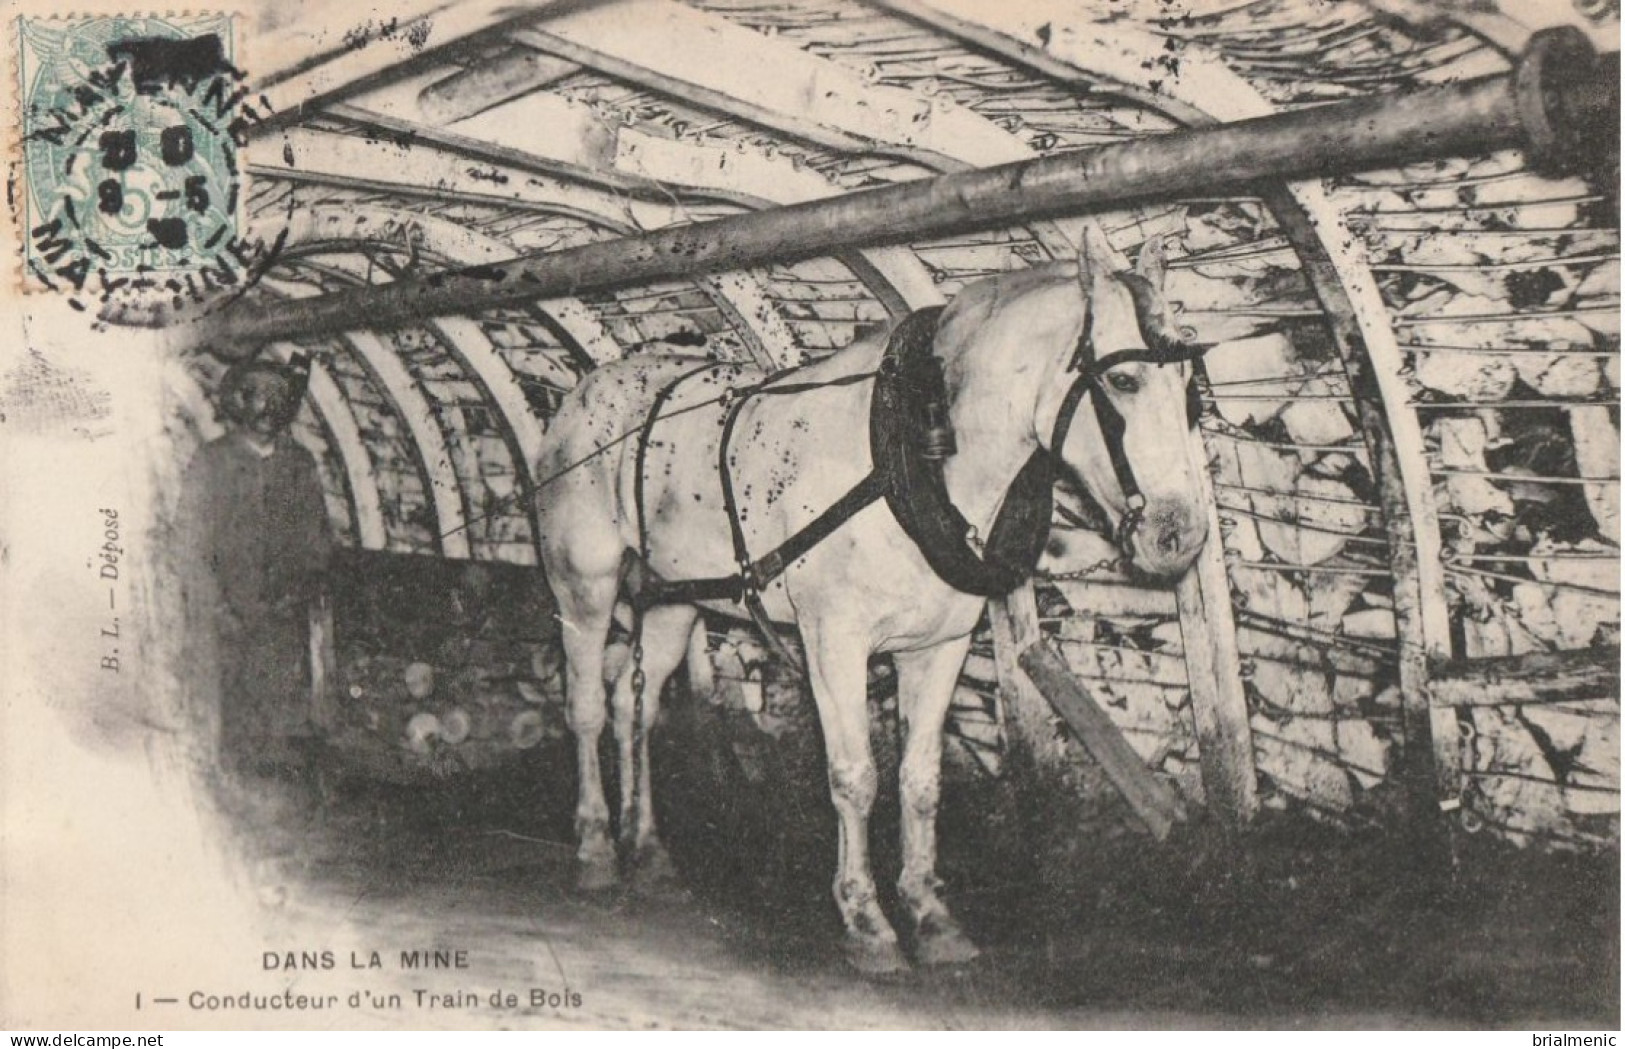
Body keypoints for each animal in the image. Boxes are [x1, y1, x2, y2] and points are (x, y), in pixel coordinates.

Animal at [533, 230, 1209, 980]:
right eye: (1123, 382)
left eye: (1188, 390)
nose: (1180, 535)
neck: (911, 461)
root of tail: (585, 393)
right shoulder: (834, 641)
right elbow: (855, 776)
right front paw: (865, 919)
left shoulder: (938, 648)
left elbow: (920, 779)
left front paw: (930, 914)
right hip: (583, 584)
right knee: (588, 705)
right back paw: (596, 845)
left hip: (674, 598)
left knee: (636, 705)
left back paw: (647, 849)